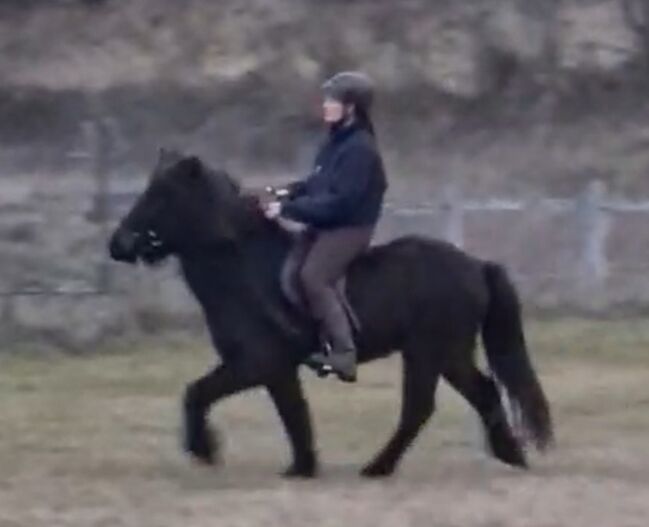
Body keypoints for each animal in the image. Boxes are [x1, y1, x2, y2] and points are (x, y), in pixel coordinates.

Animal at [108, 149, 553, 478]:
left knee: (419, 408)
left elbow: (202, 394)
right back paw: (510, 455)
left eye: (162, 195)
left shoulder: (256, 364)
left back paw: (378, 467)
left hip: (427, 352)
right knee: (484, 391)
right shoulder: (272, 369)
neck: (243, 270)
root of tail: (476, 265)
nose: (118, 244)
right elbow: (292, 414)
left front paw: (206, 450)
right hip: (451, 354)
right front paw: (301, 466)